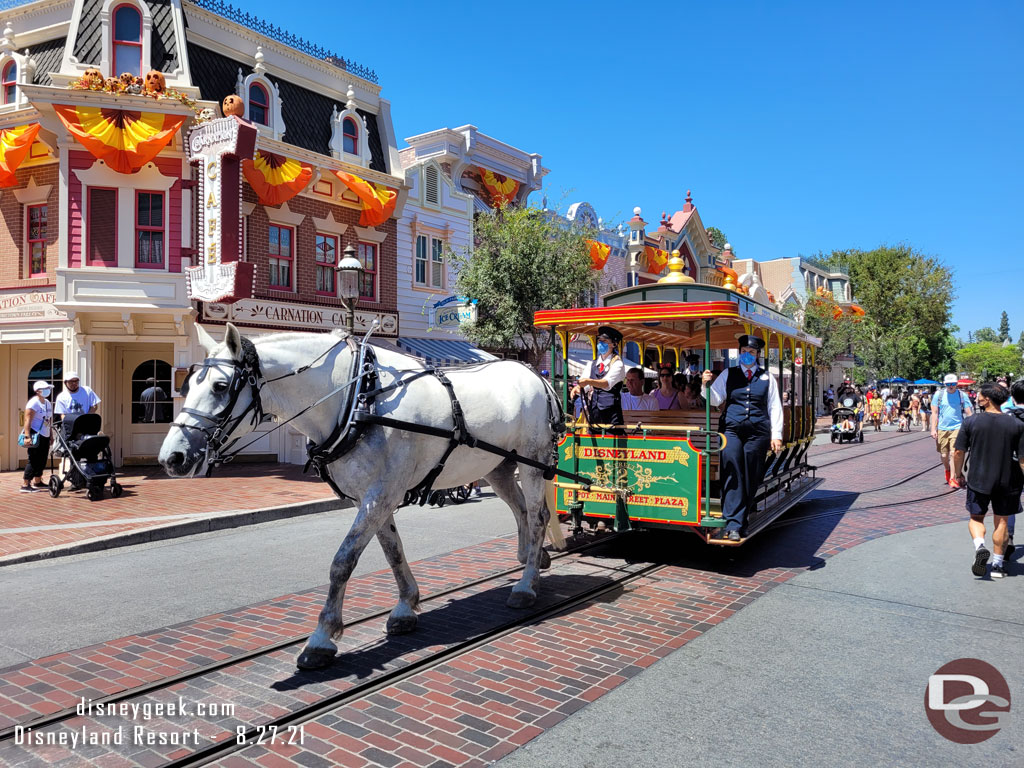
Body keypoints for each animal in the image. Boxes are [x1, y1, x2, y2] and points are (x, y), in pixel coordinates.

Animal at [156, 321, 565, 671]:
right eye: (187, 384)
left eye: (220, 386)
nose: (171, 458)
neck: (356, 401)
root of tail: (535, 376)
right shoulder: (370, 497)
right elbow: (392, 551)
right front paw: (405, 607)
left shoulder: (380, 494)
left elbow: (343, 561)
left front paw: (321, 639)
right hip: (497, 467)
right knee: (521, 512)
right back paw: (531, 560)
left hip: (532, 463)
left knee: (537, 517)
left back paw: (526, 586)